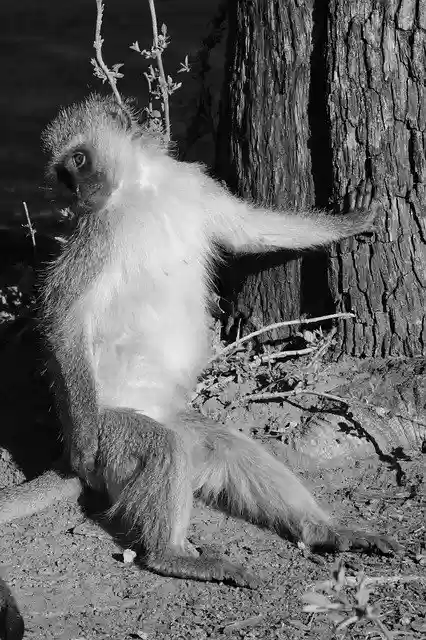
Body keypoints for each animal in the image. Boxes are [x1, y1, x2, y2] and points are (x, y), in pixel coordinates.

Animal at [0, 94, 397, 593]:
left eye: (78, 160)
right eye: (63, 172)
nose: (76, 190)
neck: (143, 189)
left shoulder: (194, 186)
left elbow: (250, 230)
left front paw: (352, 221)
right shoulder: (96, 232)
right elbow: (63, 316)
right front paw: (84, 445)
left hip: (182, 426)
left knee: (231, 449)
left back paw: (325, 531)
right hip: (117, 433)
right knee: (160, 449)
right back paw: (170, 555)